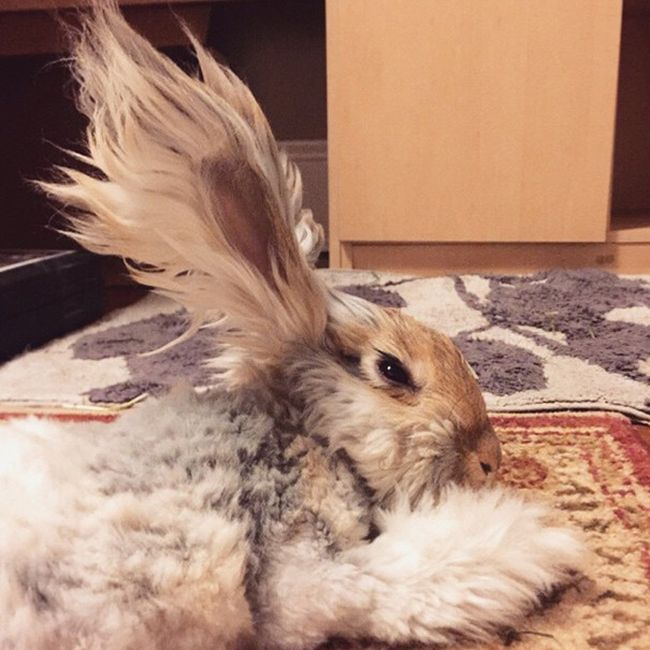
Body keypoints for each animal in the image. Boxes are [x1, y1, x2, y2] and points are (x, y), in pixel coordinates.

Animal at [0, 3, 583, 649]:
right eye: (392, 369)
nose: (490, 460)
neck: (296, 428)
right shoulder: (300, 559)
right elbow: (404, 576)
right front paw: (544, 540)